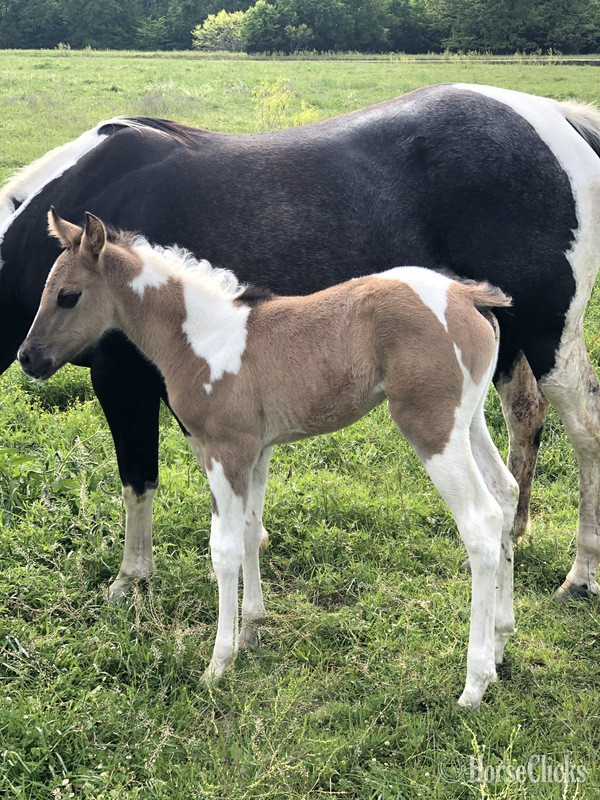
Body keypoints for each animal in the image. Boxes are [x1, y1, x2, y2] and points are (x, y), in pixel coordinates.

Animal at [1, 83, 600, 601]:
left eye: (68, 297)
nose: (29, 358)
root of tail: (558, 118)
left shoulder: (124, 381)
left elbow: (138, 478)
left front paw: (131, 579)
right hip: (505, 339)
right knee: (523, 417)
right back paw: (514, 534)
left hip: (548, 335)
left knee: (584, 430)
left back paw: (580, 574)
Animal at [18, 209, 517, 709]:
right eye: (44, 289)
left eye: (68, 296)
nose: (27, 358)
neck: (204, 338)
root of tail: (467, 295)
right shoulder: (257, 452)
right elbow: (251, 532)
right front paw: (251, 630)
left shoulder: (224, 452)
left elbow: (224, 549)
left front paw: (218, 664)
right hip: (469, 421)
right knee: (506, 494)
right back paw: (499, 642)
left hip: (431, 427)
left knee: (481, 522)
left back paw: (474, 683)